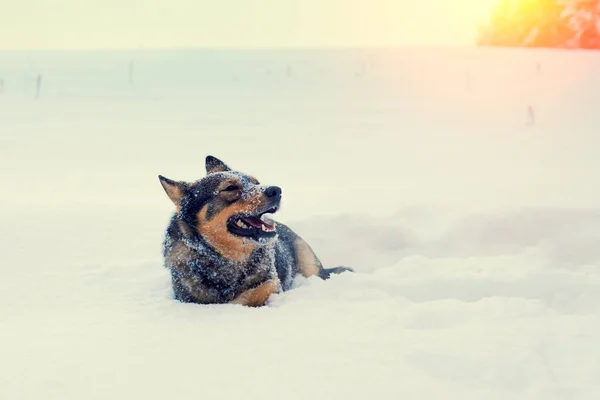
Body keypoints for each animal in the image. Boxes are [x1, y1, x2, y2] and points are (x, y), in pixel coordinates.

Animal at [158, 155, 352, 306]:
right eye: (230, 188)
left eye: (256, 183)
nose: (276, 190)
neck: (227, 261)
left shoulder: (272, 283)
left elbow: (257, 293)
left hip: (308, 263)